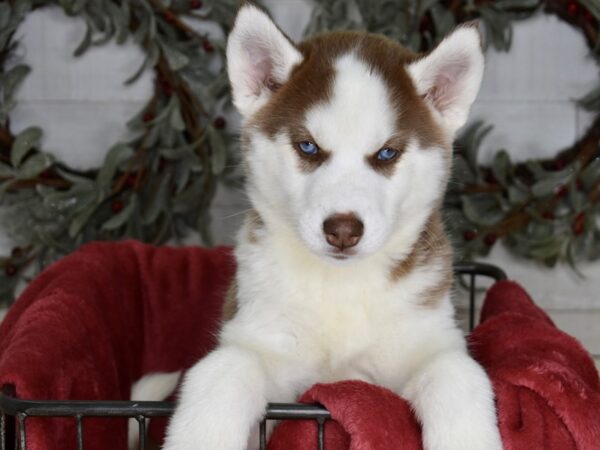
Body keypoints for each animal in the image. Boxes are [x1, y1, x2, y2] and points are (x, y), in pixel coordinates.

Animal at [163, 3, 502, 450]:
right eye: (308, 146)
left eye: (386, 153)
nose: (343, 230)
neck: (341, 288)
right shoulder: (259, 336)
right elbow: (222, 371)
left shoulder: (429, 342)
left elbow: (459, 375)